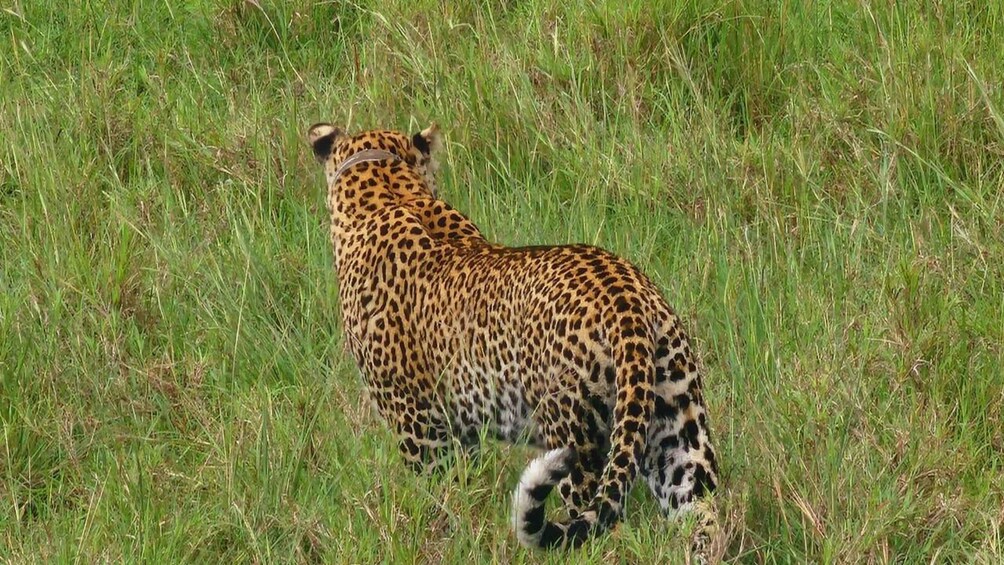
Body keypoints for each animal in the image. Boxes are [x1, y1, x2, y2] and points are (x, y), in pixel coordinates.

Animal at [307, 122, 721, 560]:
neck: (387, 190)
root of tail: (624, 297)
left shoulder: (417, 425)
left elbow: (437, 495)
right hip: (679, 432)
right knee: (703, 516)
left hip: (575, 443)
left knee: (606, 533)